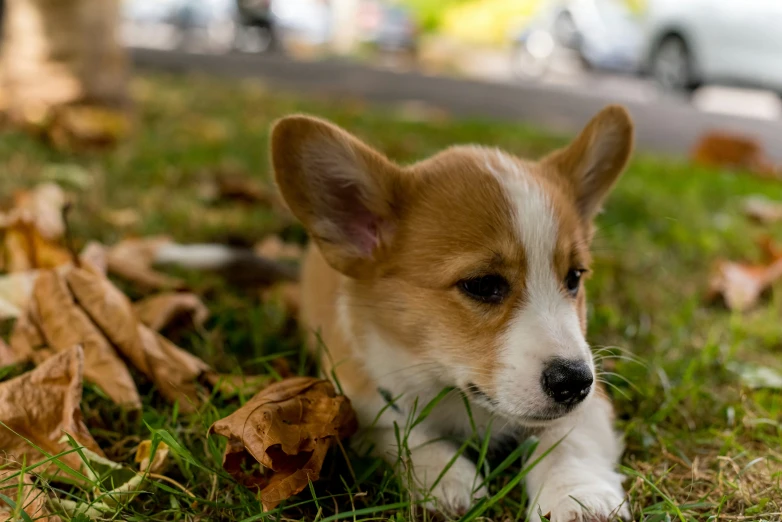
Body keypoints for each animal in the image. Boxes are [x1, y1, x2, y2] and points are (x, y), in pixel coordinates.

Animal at [270, 105, 636, 520]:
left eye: (574, 277)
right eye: (482, 285)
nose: (575, 382)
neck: (451, 388)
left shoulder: (593, 403)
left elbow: (567, 442)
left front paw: (578, 497)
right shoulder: (353, 394)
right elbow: (398, 429)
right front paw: (447, 479)